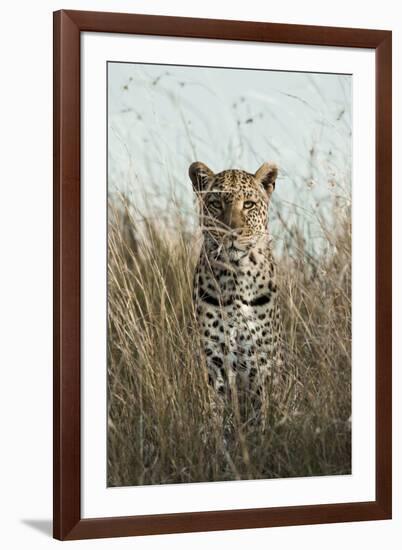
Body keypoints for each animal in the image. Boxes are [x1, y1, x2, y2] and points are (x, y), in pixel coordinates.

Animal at [190, 162, 284, 420]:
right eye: (216, 204)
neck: (236, 279)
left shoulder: (259, 360)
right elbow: (219, 412)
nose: (231, 232)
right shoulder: (214, 358)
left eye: (249, 204)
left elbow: (258, 412)